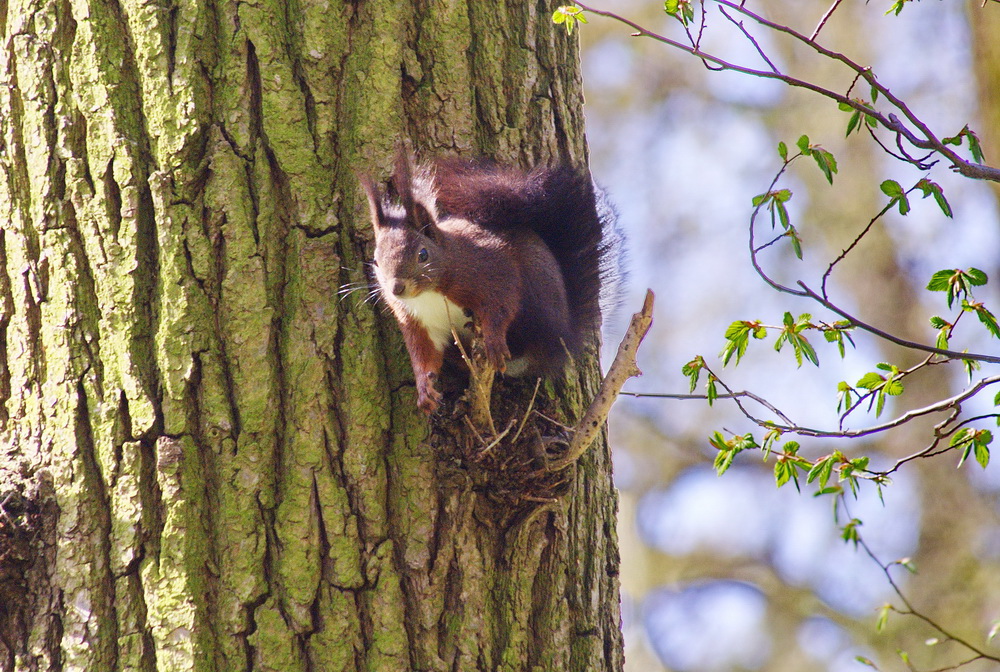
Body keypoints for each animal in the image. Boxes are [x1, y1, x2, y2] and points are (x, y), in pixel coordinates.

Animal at [360, 152, 608, 414]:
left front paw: (494, 340)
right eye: (375, 261)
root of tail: (564, 334)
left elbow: (500, 302)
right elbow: (424, 354)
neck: (429, 294)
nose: (396, 288)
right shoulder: (417, 322)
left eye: (423, 254)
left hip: (537, 301)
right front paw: (424, 389)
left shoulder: (490, 269)